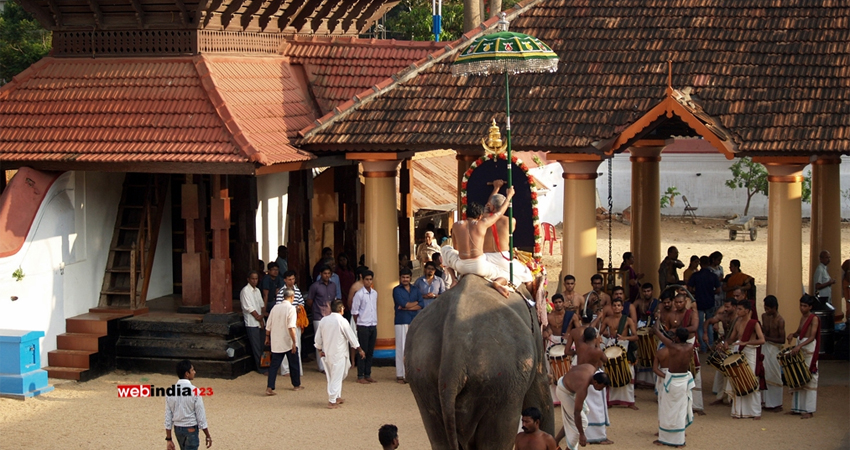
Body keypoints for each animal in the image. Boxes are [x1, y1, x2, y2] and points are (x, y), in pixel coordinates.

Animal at [406, 272, 556, 448]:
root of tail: (453, 348)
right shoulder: (536, 340)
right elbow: (539, 393)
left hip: (422, 378)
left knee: (438, 436)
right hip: (503, 381)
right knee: (498, 435)